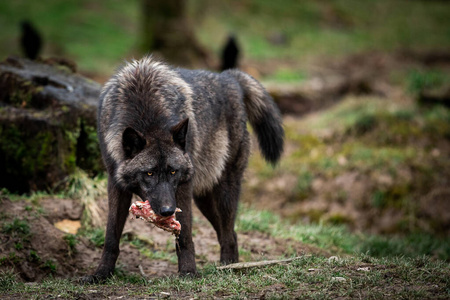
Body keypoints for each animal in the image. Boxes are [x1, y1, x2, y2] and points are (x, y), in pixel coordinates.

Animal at [81, 56, 284, 284]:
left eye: (172, 172)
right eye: (149, 173)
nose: (168, 210)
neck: (147, 112)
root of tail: (228, 77)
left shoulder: (184, 186)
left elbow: (185, 235)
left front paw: (188, 272)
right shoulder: (115, 184)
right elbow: (110, 237)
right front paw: (101, 274)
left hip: (224, 191)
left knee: (228, 231)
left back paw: (229, 266)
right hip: (204, 198)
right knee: (229, 232)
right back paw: (229, 265)